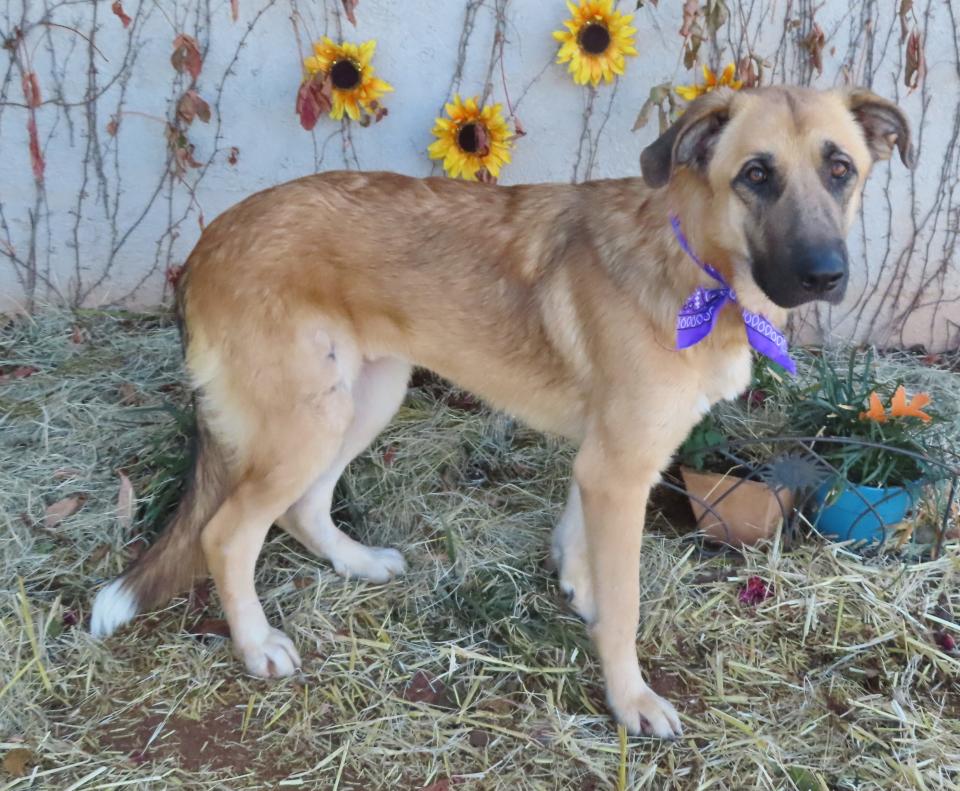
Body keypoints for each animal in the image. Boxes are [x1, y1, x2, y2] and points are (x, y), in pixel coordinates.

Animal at [92, 85, 916, 736]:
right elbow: (627, 604)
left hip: (364, 397)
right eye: (755, 175)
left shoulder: (604, 460)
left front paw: (578, 589)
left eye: (840, 169)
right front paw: (630, 699)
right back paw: (257, 645)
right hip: (308, 420)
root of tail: (207, 242)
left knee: (302, 506)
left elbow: (579, 538)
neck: (693, 260)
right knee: (228, 532)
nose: (825, 275)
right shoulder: (622, 468)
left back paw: (357, 562)